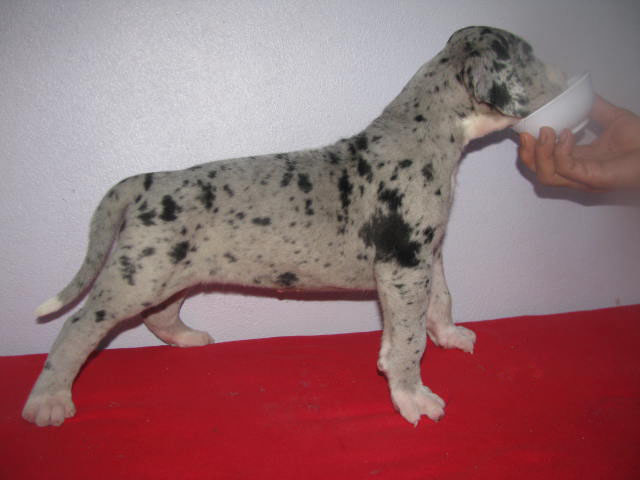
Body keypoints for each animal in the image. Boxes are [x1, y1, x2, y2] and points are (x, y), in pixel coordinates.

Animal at [23, 26, 564, 427]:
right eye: (530, 58)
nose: (567, 76)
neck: (426, 130)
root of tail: (145, 181)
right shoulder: (404, 266)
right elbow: (407, 339)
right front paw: (412, 394)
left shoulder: (424, 256)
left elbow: (440, 300)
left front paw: (448, 335)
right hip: (136, 276)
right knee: (77, 327)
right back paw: (49, 400)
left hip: (168, 273)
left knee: (160, 315)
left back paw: (188, 338)